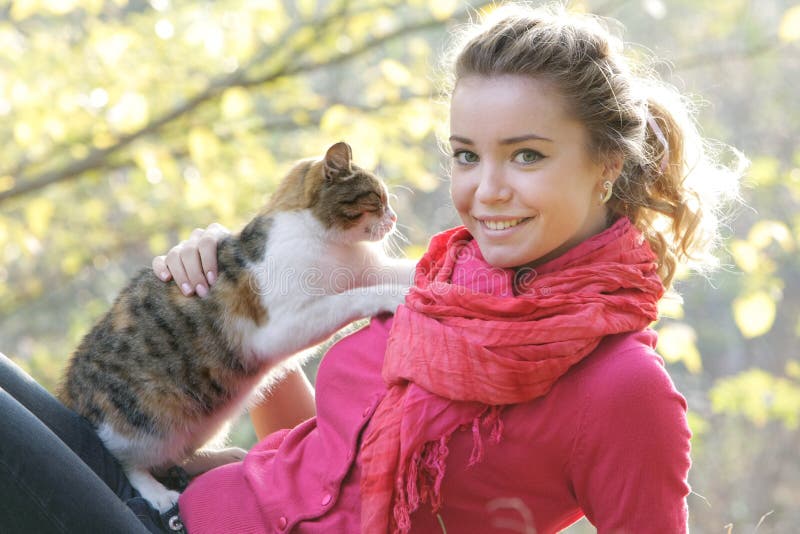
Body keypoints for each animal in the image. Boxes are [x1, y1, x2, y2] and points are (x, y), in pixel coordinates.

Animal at [59, 142, 416, 516]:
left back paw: (223, 457)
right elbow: (351, 297)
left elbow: (401, 270)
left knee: (175, 456)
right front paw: (392, 295)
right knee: (130, 460)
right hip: (147, 419)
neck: (336, 248)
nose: (393, 218)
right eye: (377, 197)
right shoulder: (281, 327)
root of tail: (69, 392)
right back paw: (158, 493)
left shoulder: (369, 270)